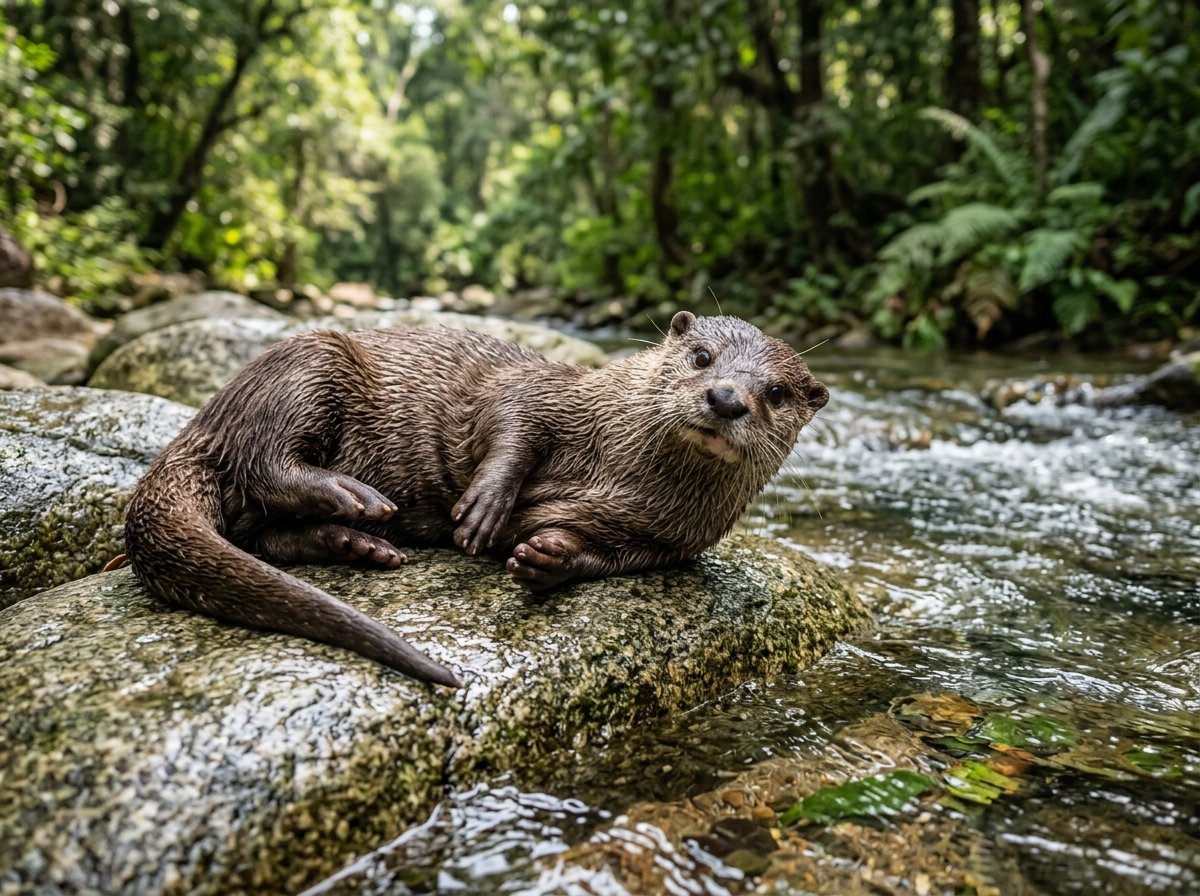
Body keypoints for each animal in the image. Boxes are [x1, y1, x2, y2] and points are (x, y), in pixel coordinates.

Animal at [123, 311, 829, 688]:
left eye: (775, 392)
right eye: (701, 356)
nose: (728, 398)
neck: (618, 473)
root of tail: (205, 421)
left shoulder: (668, 540)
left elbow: (606, 558)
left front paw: (547, 556)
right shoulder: (548, 392)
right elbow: (513, 420)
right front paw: (486, 506)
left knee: (260, 536)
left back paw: (353, 540)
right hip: (306, 366)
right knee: (265, 458)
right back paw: (354, 498)